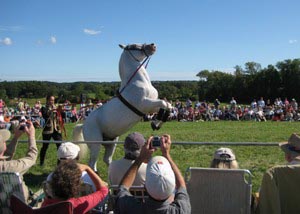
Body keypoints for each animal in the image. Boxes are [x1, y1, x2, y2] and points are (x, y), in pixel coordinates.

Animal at [72, 42, 171, 171]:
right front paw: (155, 123)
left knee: (107, 159)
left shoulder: (151, 106)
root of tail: (83, 125)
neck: (138, 82)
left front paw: (157, 123)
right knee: (92, 163)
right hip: (95, 144)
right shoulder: (145, 104)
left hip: (111, 143)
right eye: (134, 46)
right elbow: (164, 104)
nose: (153, 45)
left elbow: (167, 106)